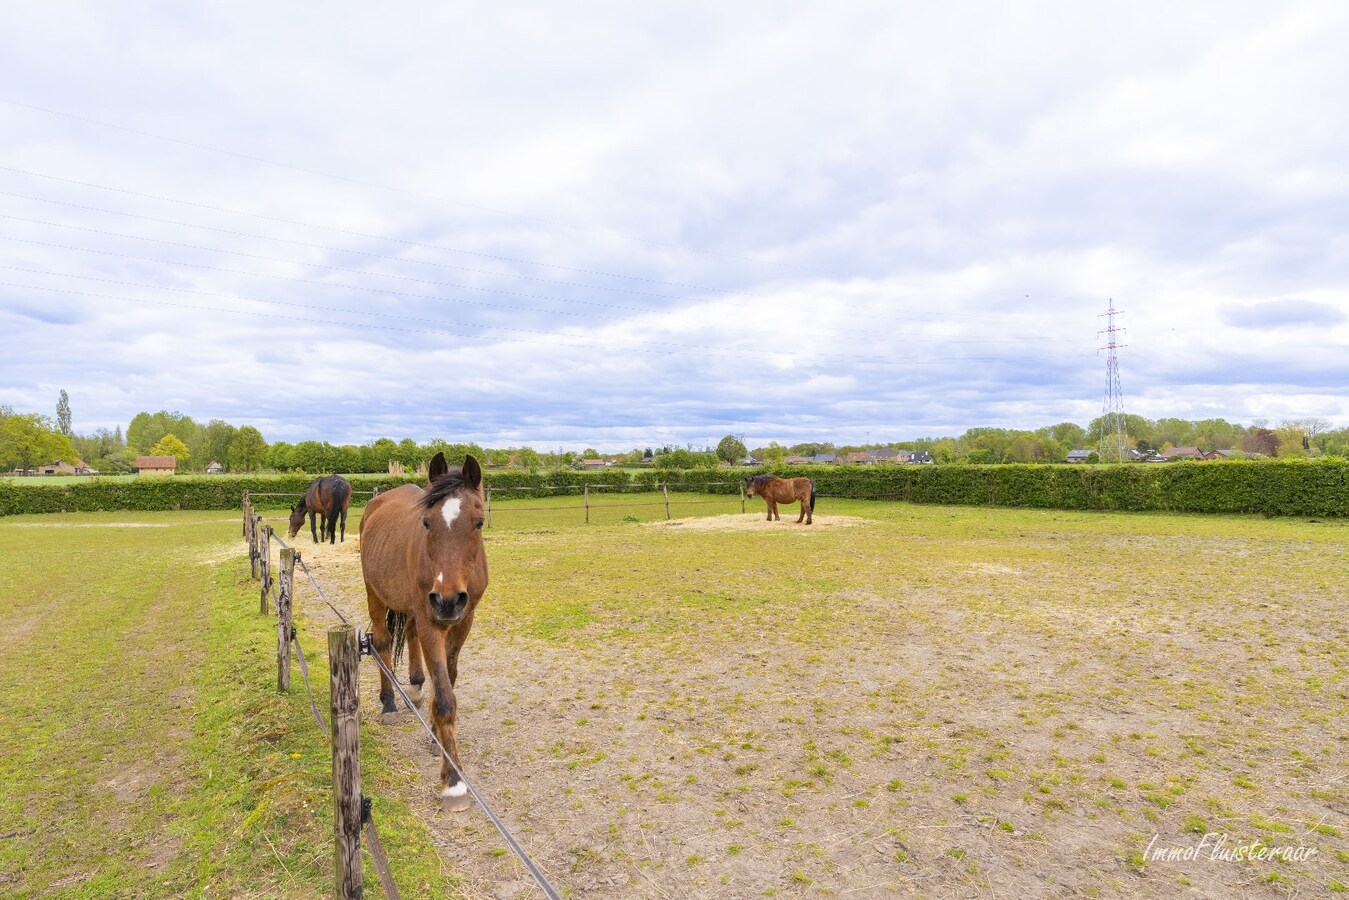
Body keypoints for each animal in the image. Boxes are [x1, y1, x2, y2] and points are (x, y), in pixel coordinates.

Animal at [356, 450, 488, 809]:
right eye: (427, 522)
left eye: (479, 522)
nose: (447, 600)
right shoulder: (433, 621)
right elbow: (444, 697)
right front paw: (454, 781)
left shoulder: (462, 621)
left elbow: (448, 679)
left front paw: (435, 736)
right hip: (376, 594)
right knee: (382, 642)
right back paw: (389, 703)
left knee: (410, 636)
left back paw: (414, 688)